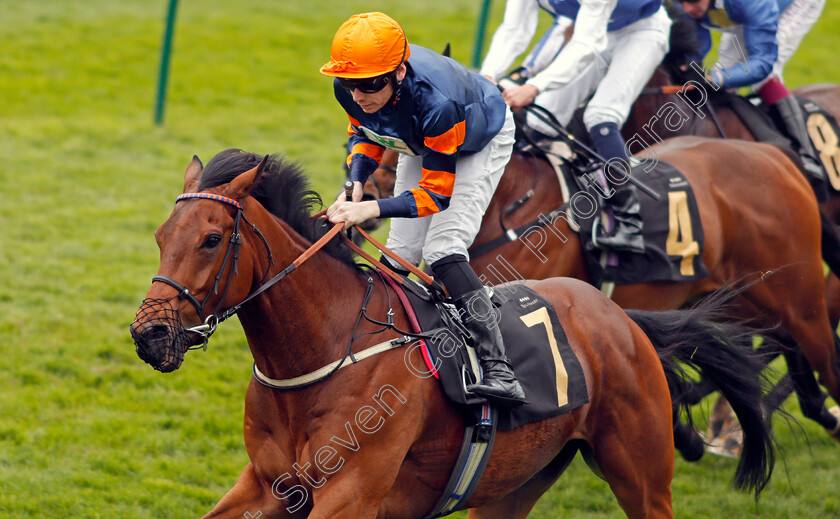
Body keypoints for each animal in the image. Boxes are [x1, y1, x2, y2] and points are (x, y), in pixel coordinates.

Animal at [133, 150, 776, 519]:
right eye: (162, 234)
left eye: (211, 239)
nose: (150, 333)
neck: (324, 353)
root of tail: (621, 319)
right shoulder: (269, 486)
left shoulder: (350, 496)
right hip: (513, 485)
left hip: (642, 476)